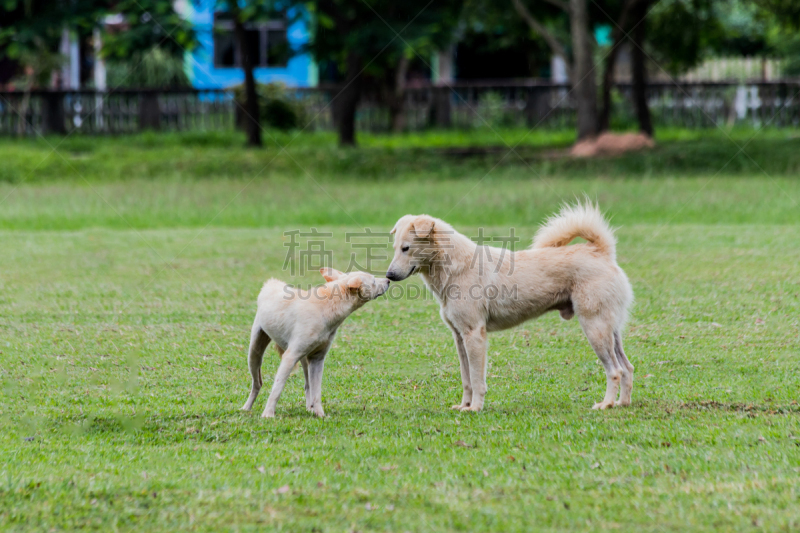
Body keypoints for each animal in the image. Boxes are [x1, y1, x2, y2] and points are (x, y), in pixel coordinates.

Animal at [241, 268, 390, 418]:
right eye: (374, 281)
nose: (389, 280)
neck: (327, 307)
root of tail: (271, 283)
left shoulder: (317, 359)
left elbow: (316, 391)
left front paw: (320, 414)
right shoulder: (290, 357)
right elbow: (277, 388)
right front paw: (268, 414)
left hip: (305, 360)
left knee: (308, 386)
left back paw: (309, 408)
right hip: (254, 354)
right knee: (257, 384)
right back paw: (246, 407)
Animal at [388, 202, 632, 414]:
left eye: (406, 248)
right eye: (395, 248)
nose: (389, 275)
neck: (455, 267)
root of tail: (601, 252)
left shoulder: (474, 335)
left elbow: (476, 379)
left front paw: (475, 408)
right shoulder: (459, 336)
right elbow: (466, 379)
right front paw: (464, 406)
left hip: (595, 329)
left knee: (615, 371)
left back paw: (606, 404)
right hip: (610, 331)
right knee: (627, 368)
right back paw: (622, 403)